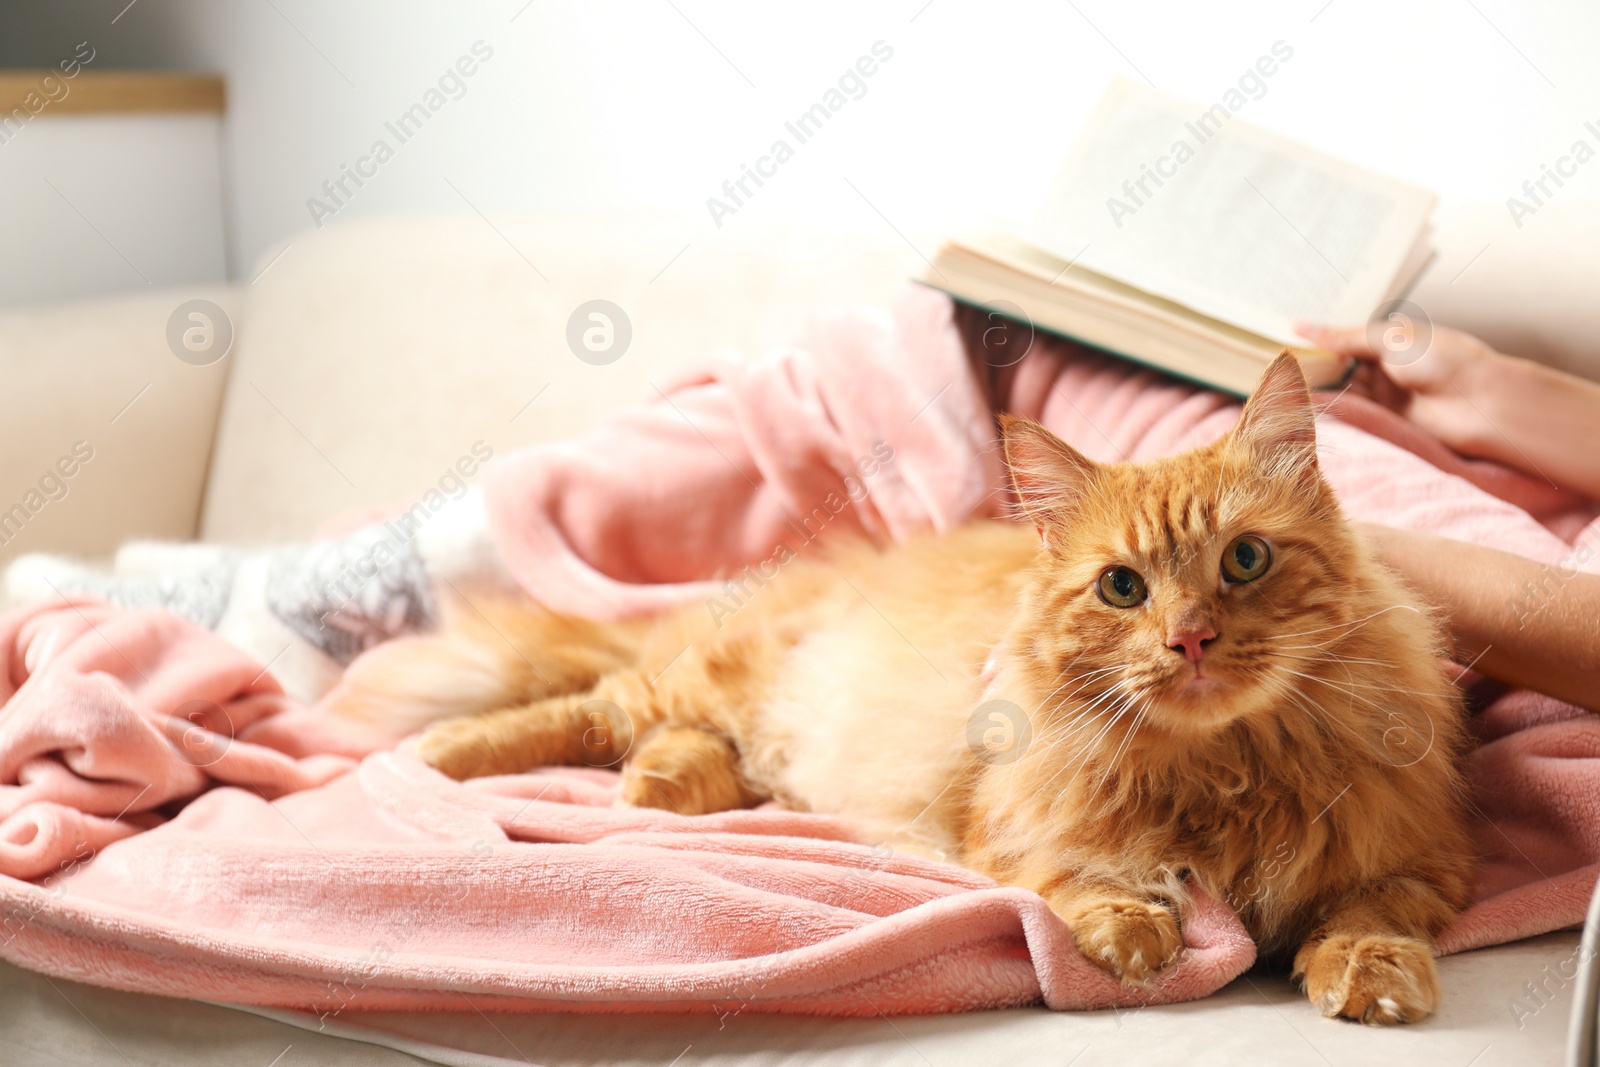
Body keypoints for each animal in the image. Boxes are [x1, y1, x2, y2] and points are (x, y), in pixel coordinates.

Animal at [328, 355, 1472, 1023]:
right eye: (1121, 586)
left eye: (1243, 560)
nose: (1188, 638)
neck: (1227, 769)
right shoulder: (1002, 822)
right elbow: (1082, 874)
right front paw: (1131, 931)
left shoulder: (1414, 859)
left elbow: (1368, 915)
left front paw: (1371, 976)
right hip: (706, 680)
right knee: (598, 703)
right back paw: (442, 756)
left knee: (681, 748)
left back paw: (660, 788)